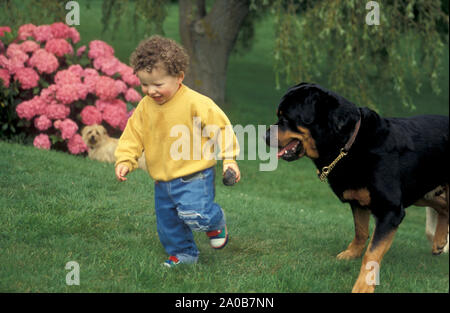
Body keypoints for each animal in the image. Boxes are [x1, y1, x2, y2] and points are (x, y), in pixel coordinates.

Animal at [266, 81, 448, 292]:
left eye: (286, 118)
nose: (265, 135)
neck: (347, 145)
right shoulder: (358, 201)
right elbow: (360, 232)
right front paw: (351, 253)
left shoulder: (390, 210)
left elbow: (372, 253)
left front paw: (363, 285)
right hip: (421, 191)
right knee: (443, 206)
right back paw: (439, 241)